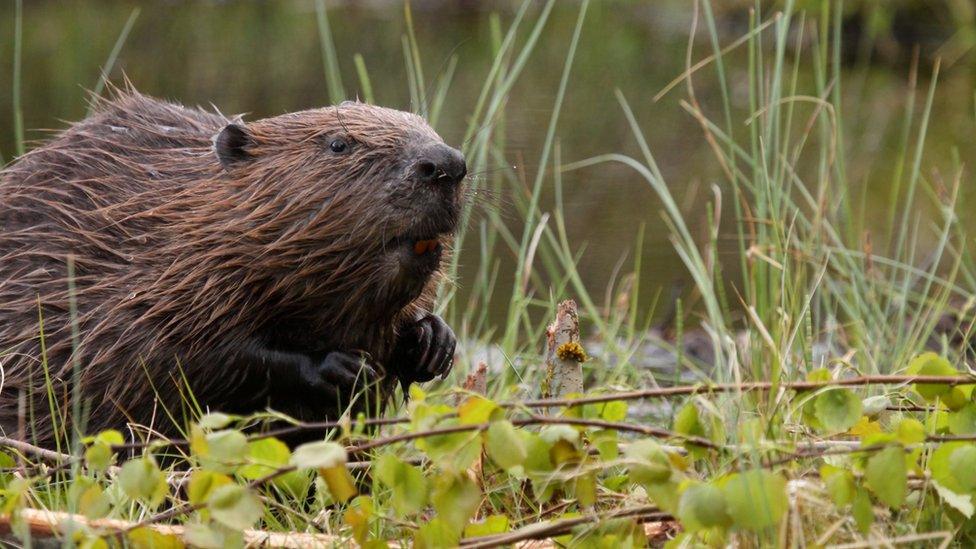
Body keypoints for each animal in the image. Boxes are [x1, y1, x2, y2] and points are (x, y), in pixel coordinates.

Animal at [0, 86, 466, 446]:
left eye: (427, 127)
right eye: (338, 144)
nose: (446, 164)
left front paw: (433, 342)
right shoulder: (143, 283)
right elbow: (182, 358)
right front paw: (342, 367)